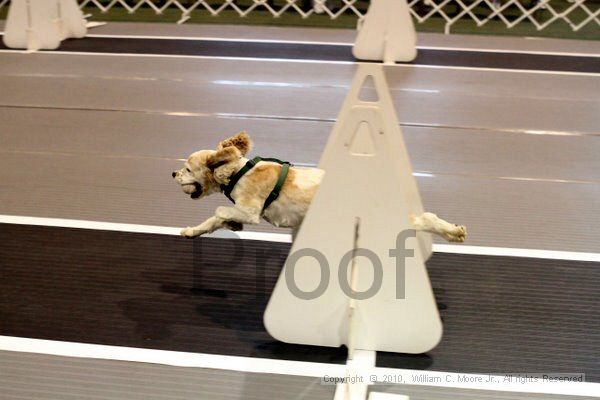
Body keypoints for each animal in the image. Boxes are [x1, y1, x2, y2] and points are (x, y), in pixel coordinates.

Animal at [171, 133, 466, 242]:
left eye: (189, 168)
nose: (173, 172)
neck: (238, 172)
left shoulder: (251, 210)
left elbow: (220, 211)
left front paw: (231, 222)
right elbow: (210, 221)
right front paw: (191, 231)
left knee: (427, 219)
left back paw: (454, 232)